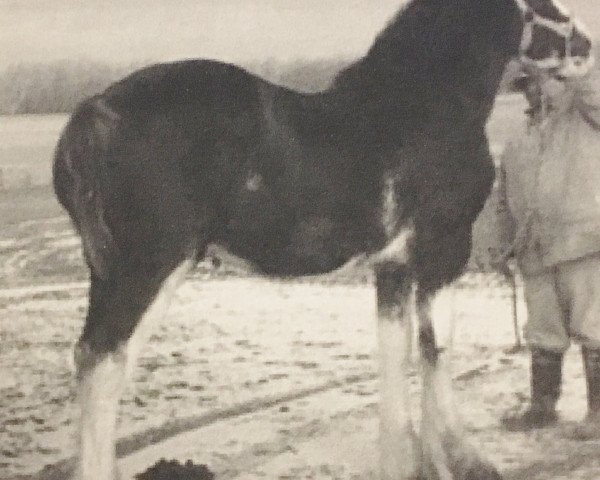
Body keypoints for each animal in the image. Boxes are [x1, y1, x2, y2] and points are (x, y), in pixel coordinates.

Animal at [52, 0, 596, 478]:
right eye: (543, 6)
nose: (589, 47)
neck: (420, 109)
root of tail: (95, 111)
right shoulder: (443, 252)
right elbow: (436, 347)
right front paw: (462, 462)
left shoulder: (393, 265)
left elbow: (396, 349)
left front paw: (405, 464)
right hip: (149, 269)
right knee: (104, 363)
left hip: (109, 274)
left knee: (89, 359)